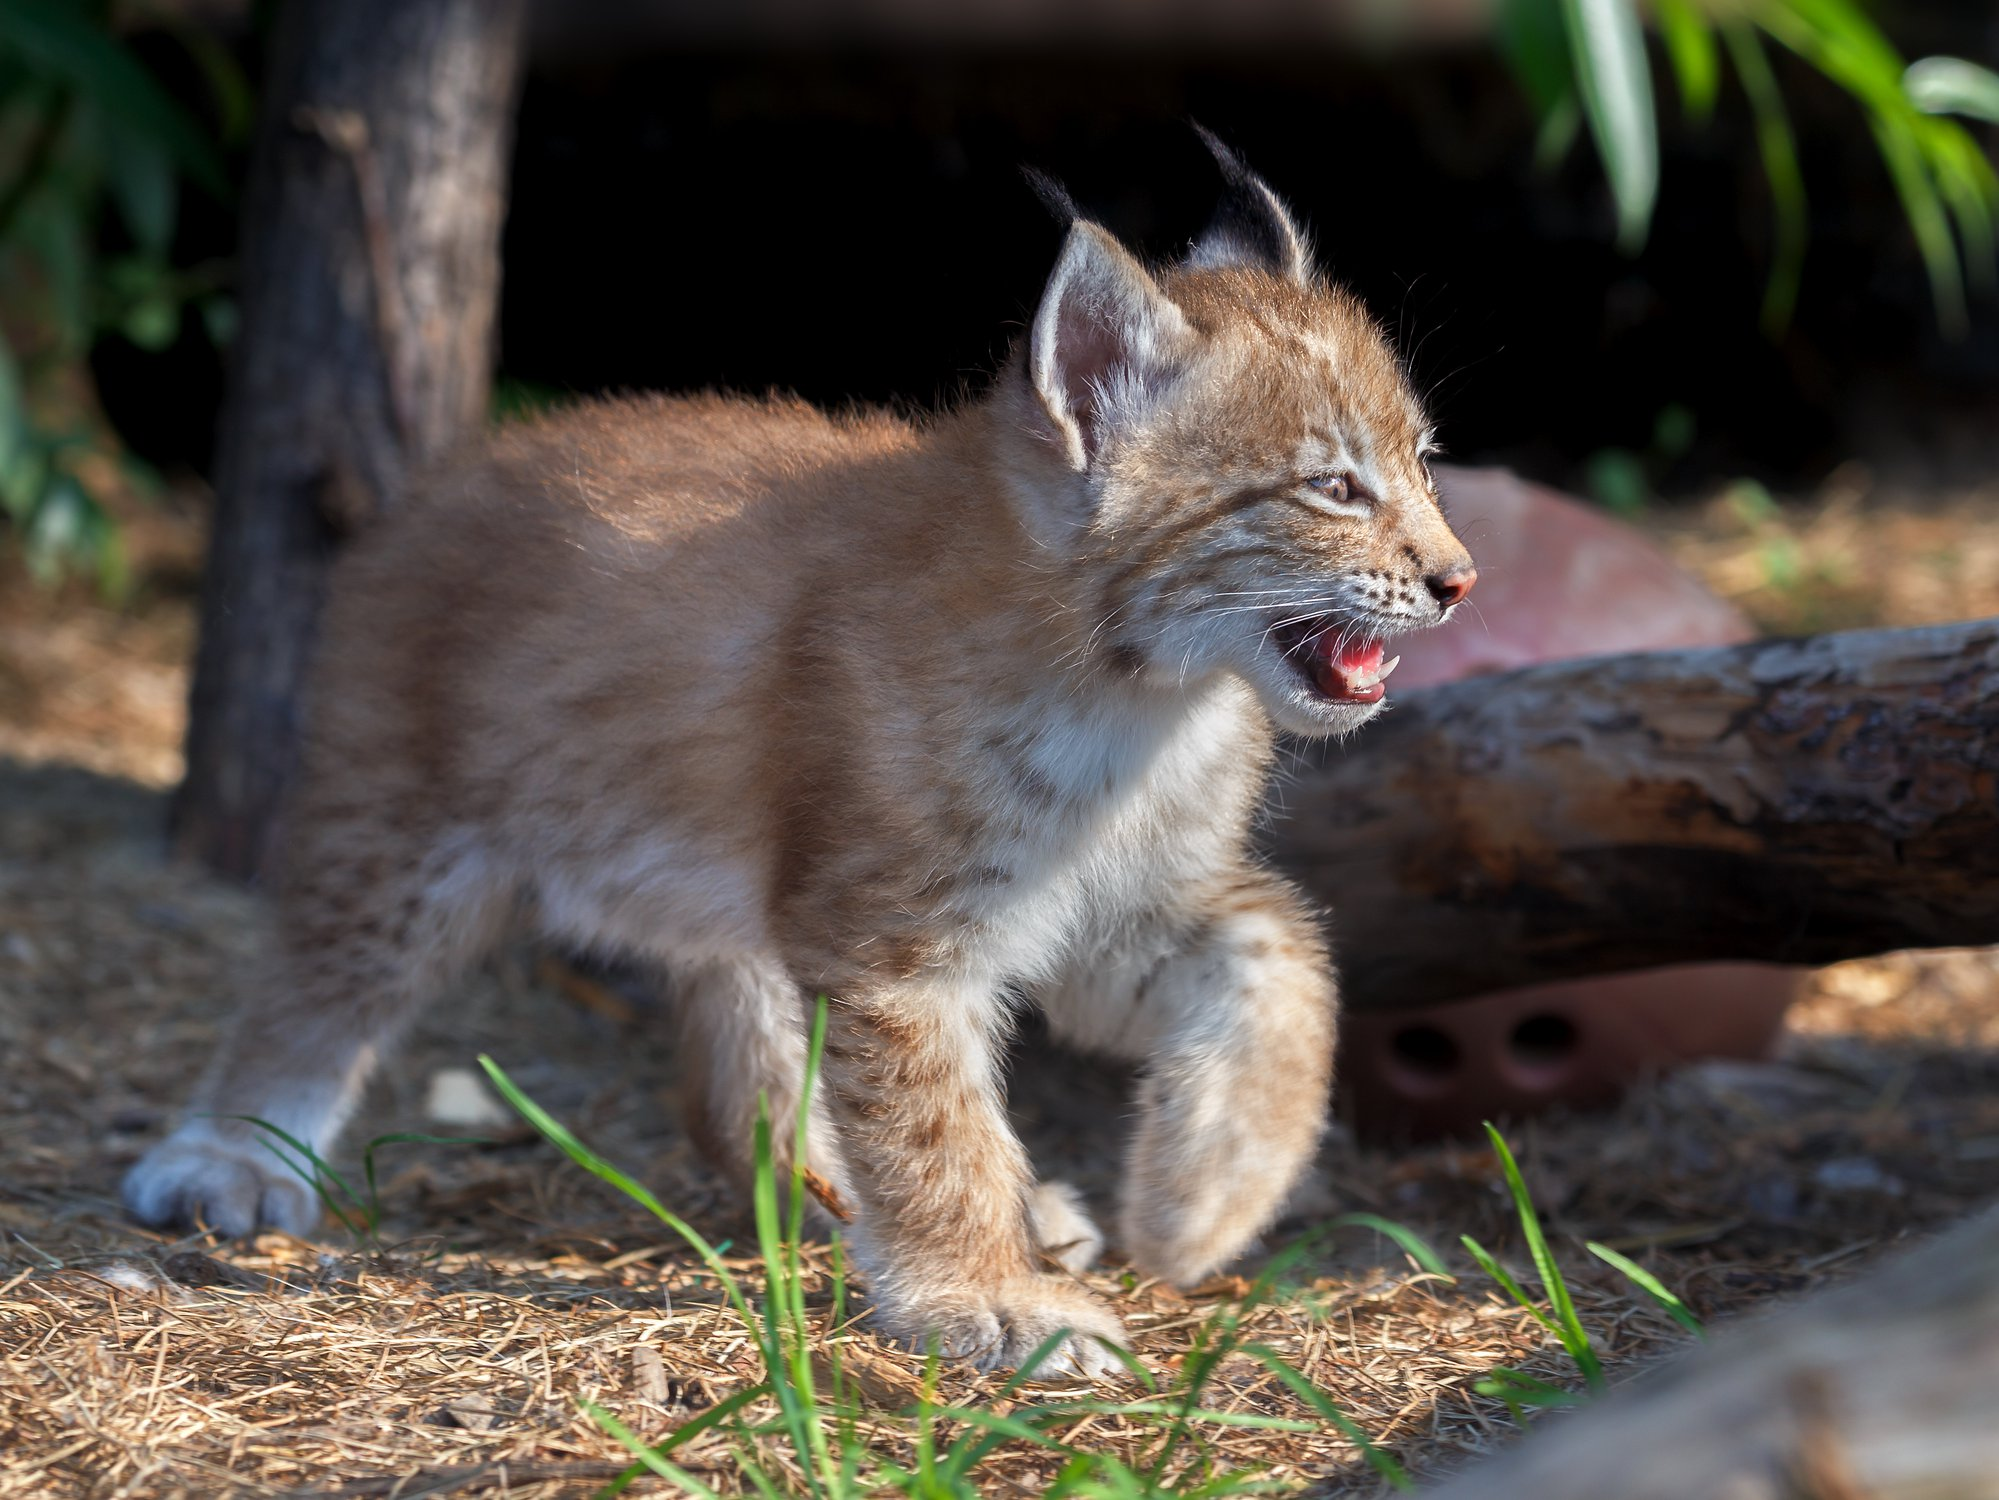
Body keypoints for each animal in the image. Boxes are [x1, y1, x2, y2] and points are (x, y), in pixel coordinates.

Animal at [124, 135, 1471, 1384]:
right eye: (1331, 487)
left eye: (1422, 462)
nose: (1457, 581)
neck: (1146, 696)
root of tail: (465, 464)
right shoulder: (893, 937)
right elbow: (934, 1128)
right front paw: (991, 1302)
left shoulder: (1104, 906)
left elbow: (1283, 951)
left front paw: (1204, 1203)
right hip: (403, 827)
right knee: (315, 985)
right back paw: (226, 1153)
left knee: (742, 1086)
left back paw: (858, 1205)